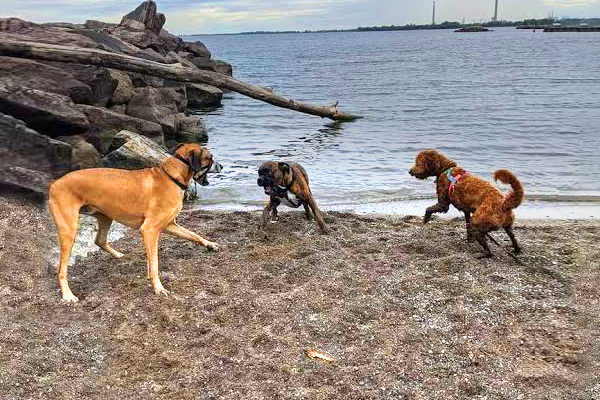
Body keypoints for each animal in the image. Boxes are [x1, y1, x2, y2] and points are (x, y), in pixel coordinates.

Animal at [48, 142, 223, 302]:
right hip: (69, 231)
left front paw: (209, 244)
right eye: (209, 158)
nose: (221, 166)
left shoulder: (169, 226)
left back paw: (118, 254)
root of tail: (54, 184)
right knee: (61, 270)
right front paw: (158, 287)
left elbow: (193, 235)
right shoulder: (150, 230)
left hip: (105, 216)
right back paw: (67, 295)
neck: (172, 177)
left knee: (100, 240)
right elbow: (155, 262)